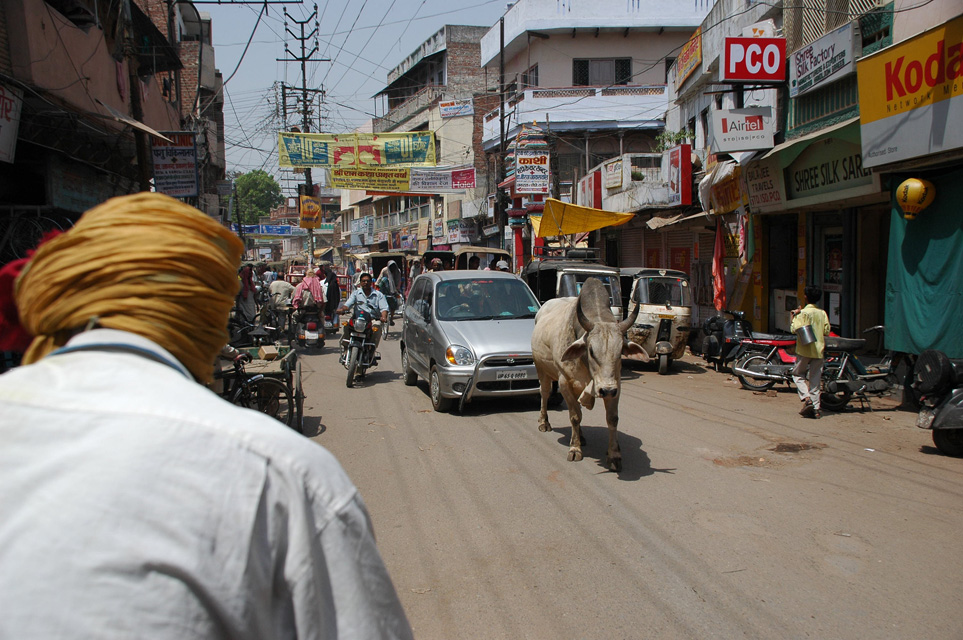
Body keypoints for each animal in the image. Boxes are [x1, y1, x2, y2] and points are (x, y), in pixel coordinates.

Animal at [536, 278, 648, 472]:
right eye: (591, 351)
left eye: (620, 352)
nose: (606, 390)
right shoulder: (565, 383)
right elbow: (574, 417)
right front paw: (574, 449)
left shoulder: (615, 385)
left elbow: (612, 419)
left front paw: (614, 455)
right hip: (542, 370)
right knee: (545, 394)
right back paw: (544, 422)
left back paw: (581, 436)